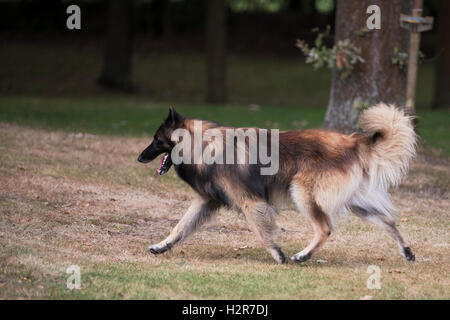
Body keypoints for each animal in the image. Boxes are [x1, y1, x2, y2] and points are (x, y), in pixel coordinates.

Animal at [139, 104, 416, 264]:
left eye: (156, 140)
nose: (140, 157)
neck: (203, 145)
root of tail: (352, 142)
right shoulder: (206, 200)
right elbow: (180, 227)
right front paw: (161, 246)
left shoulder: (250, 202)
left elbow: (262, 231)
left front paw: (277, 254)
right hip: (355, 202)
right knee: (389, 221)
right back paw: (407, 251)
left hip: (302, 192)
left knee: (325, 228)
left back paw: (303, 255)